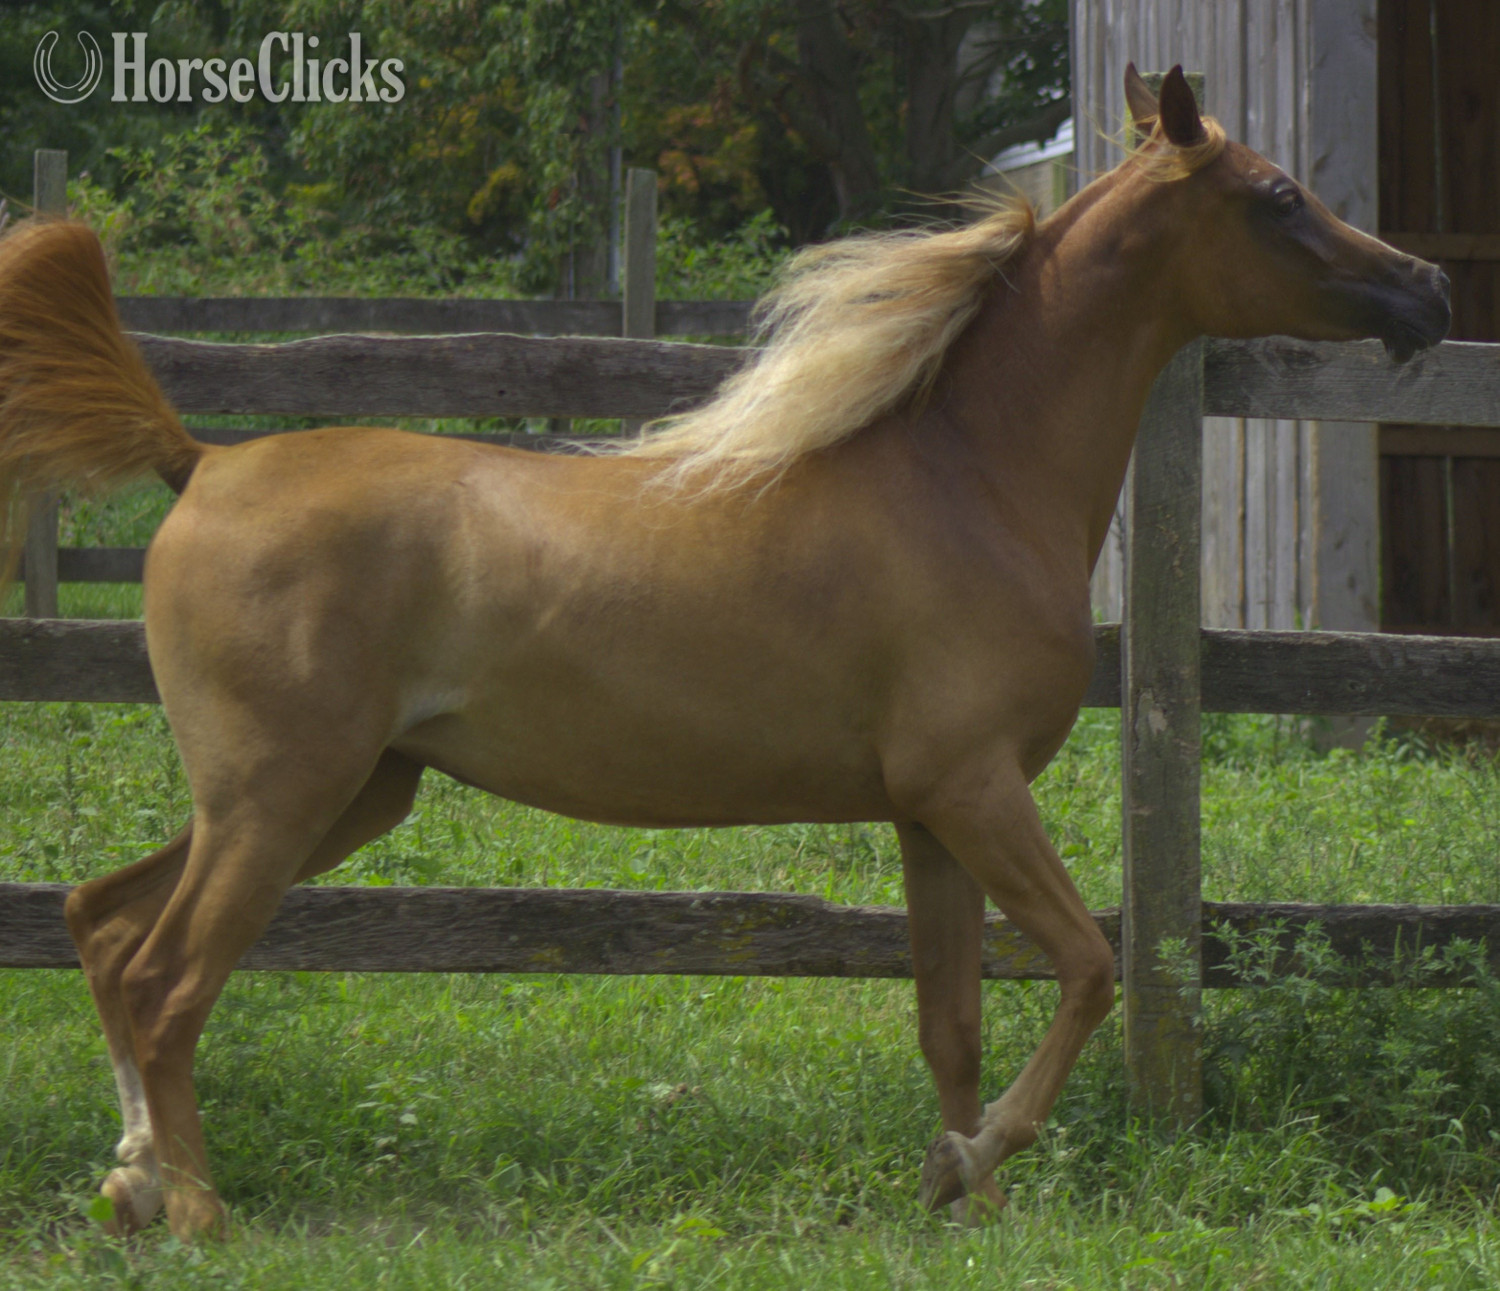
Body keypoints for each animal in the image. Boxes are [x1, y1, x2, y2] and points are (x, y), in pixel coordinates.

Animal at [0, 66, 1448, 1240]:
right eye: (1273, 197)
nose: (1426, 289)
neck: (971, 480)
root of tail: (201, 460)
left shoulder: (931, 815)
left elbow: (952, 1021)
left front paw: (961, 1191)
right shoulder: (978, 790)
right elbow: (1091, 966)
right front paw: (981, 1159)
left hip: (336, 794)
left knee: (101, 925)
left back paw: (131, 1179)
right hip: (280, 796)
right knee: (166, 978)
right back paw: (191, 1204)